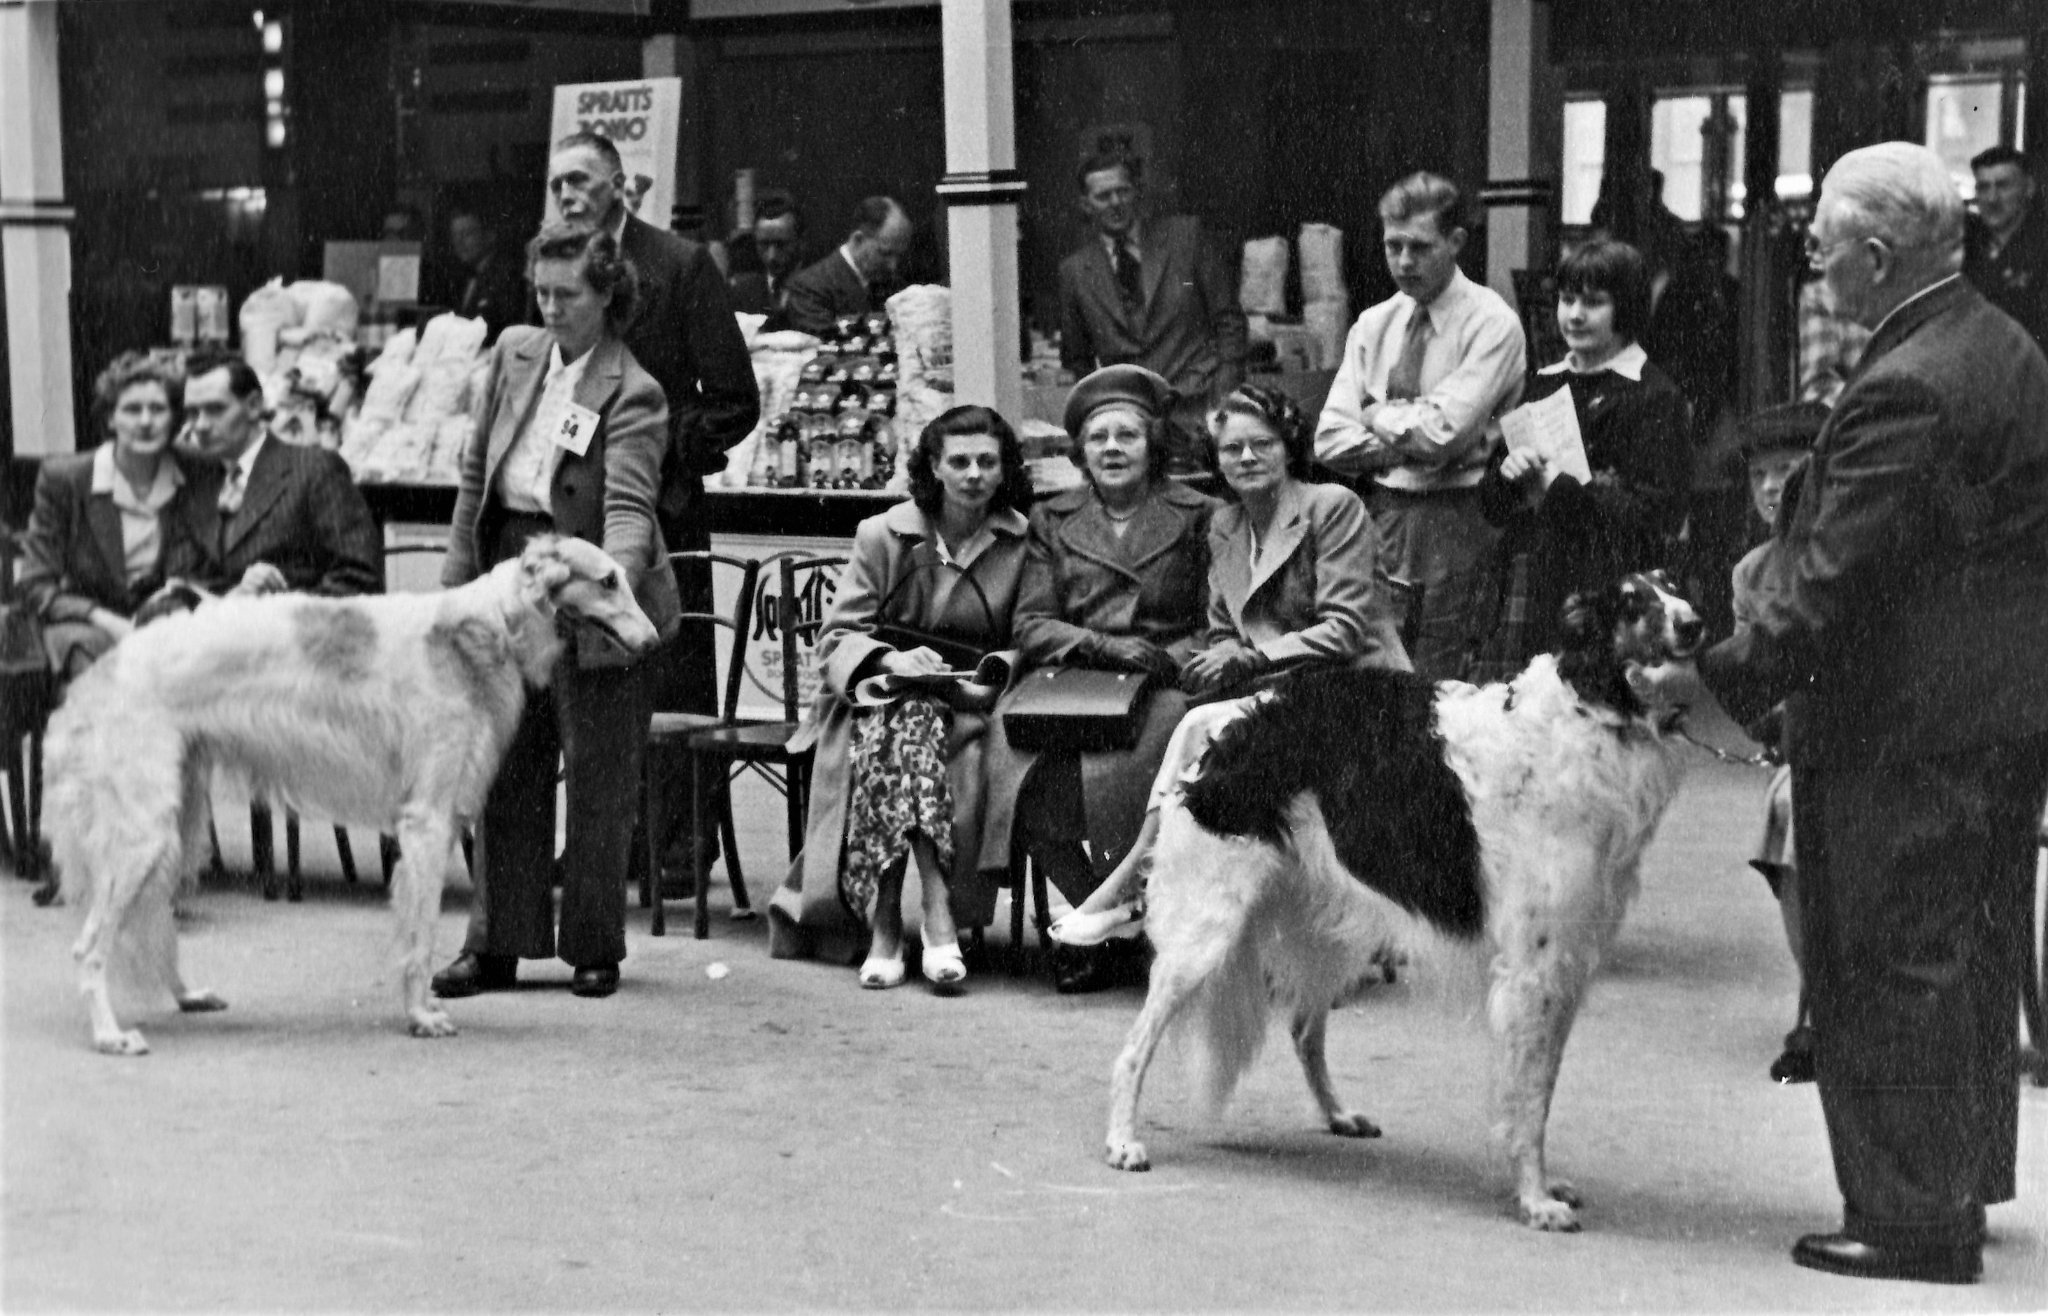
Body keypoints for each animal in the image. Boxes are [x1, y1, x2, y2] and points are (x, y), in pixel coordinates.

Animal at [48, 532, 655, 1056]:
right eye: (607, 581)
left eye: (623, 578)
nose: (654, 642)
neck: (484, 627)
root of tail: (105, 668)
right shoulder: (427, 821)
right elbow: (420, 935)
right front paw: (421, 1016)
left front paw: (419, 1010)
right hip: (144, 835)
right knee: (87, 947)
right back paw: (110, 1035)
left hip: (181, 826)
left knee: (155, 924)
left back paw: (187, 995)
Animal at [1114, 573, 1703, 1236]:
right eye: (1632, 601)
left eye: (1673, 587)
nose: (1696, 624)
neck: (1591, 715)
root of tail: (1230, 724)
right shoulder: (1531, 971)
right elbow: (1527, 1102)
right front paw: (1535, 1198)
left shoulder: (1565, 969)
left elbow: (1540, 1092)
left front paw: (1542, 1188)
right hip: (1206, 934)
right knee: (1135, 1046)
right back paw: (1122, 1142)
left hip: (1330, 931)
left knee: (1303, 1031)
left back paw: (1339, 1114)